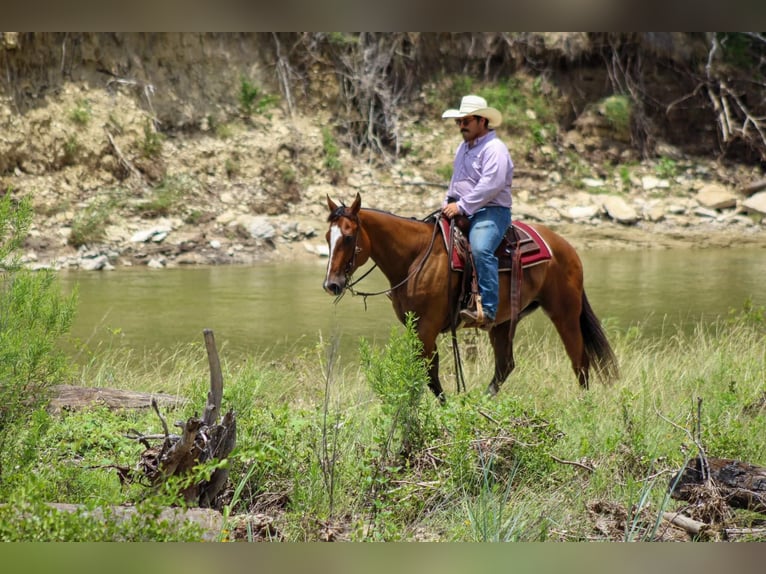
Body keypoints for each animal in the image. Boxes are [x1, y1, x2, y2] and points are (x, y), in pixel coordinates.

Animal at [322, 193, 618, 402]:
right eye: (327, 237)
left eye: (348, 237)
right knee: (505, 365)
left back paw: (584, 405)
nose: (331, 284)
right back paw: (480, 402)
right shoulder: (412, 325)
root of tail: (566, 247)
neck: (415, 257)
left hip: (564, 313)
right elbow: (421, 370)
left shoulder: (427, 327)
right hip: (503, 323)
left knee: (579, 360)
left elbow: (430, 372)